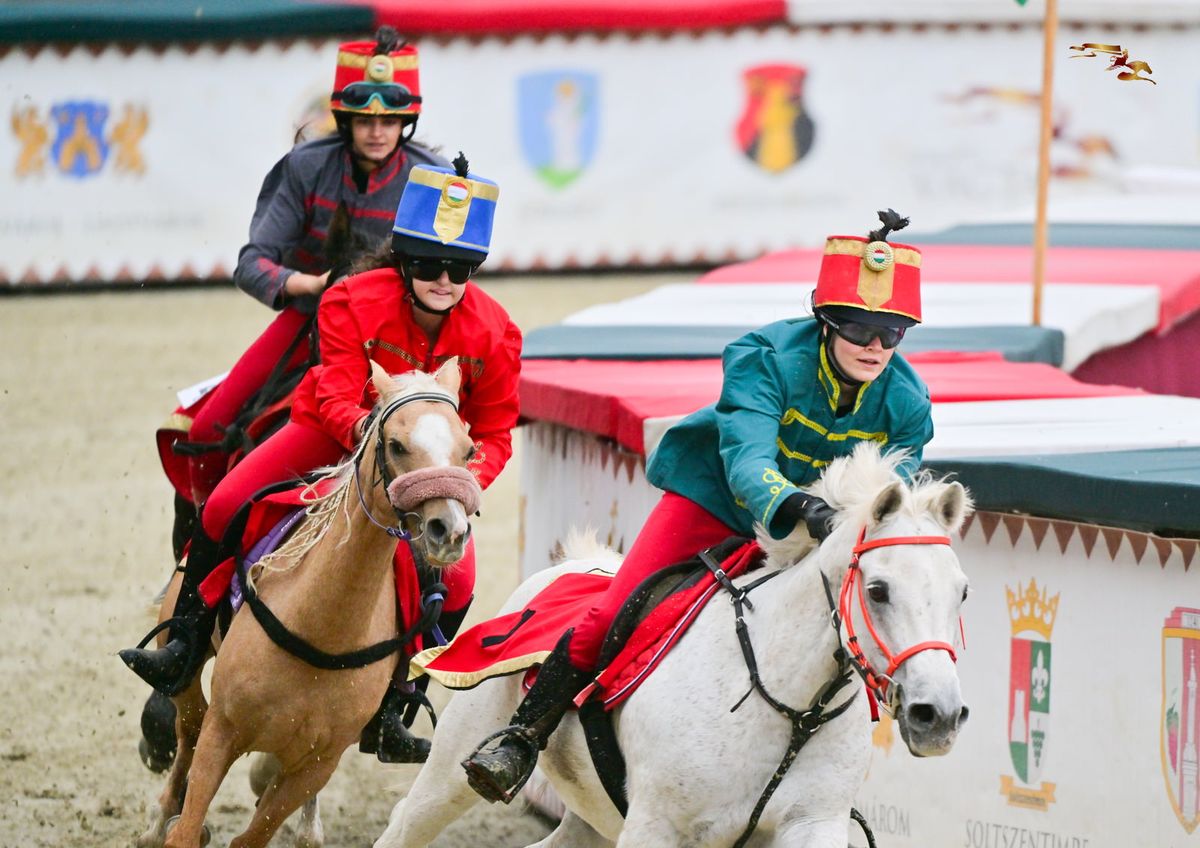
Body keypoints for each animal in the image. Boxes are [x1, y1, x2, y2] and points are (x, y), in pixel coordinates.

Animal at [137, 359, 482, 848]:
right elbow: (185, 827)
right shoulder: (223, 730)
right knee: (188, 721)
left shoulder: (317, 764)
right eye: (396, 445)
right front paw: (174, 822)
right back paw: (158, 815)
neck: (322, 626)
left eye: (468, 450)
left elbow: (252, 836)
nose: (448, 531)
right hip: (184, 664)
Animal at [374, 443, 974, 848]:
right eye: (878, 590)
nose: (938, 715)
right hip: (450, 770)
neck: (787, 707)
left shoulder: (813, 824)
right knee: (406, 823)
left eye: (962, 591)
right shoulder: (654, 827)